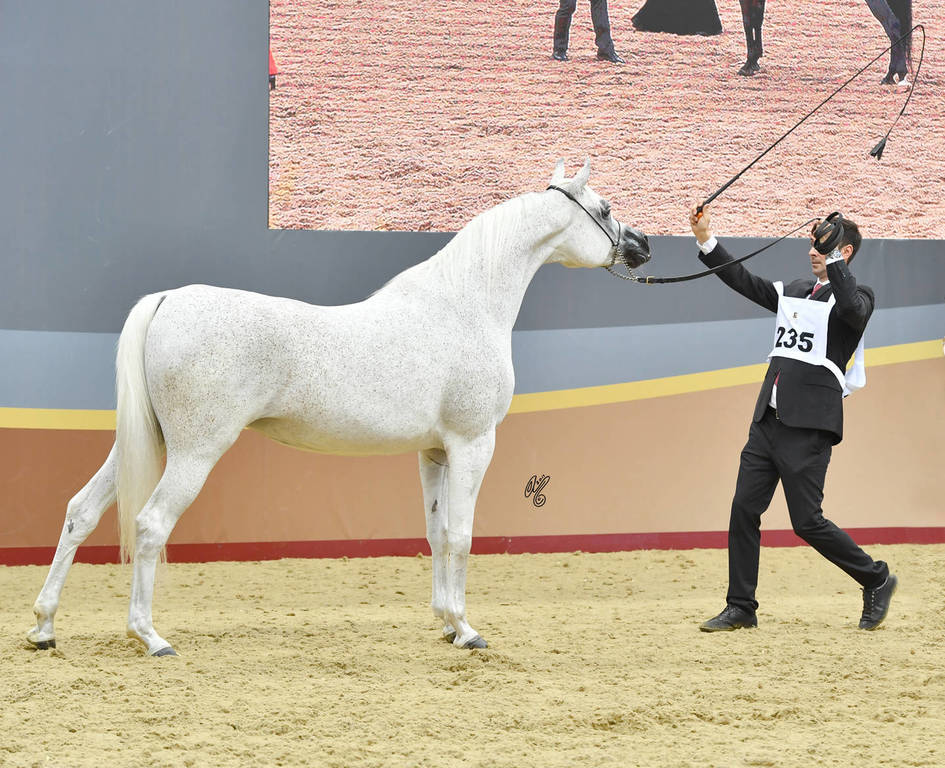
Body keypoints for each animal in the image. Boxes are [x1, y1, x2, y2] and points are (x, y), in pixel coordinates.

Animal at [26, 159, 651, 657]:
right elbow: (461, 534)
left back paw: (44, 628)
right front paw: (468, 630)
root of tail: (167, 301)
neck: (462, 306)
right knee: (151, 525)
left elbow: (436, 533)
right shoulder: (473, 444)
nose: (642, 245)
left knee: (81, 512)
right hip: (194, 451)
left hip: (145, 440)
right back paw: (151, 637)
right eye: (604, 207)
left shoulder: (434, 452)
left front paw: (446, 624)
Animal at [737, 0, 913, 82]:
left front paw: (748, 65)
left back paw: (891, 74)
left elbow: (748, 21)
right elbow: (756, 20)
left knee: (892, 25)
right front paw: (755, 61)